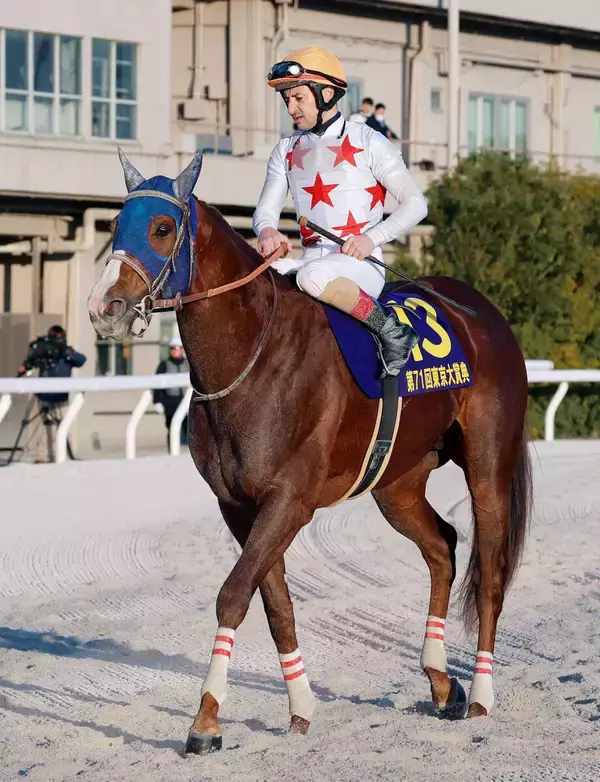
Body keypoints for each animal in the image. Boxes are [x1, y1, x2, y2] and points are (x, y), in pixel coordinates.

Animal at [87, 150, 532, 755]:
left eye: (160, 227)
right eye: (114, 225)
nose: (103, 307)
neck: (253, 355)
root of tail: (484, 313)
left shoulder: (289, 501)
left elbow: (233, 594)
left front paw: (205, 721)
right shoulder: (239, 506)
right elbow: (274, 603)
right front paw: (299, 708)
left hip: (488, 466)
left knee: (490, 573)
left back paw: (482, 692)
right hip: (396, 483)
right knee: (442, 546)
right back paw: (443, 684)